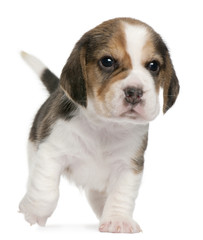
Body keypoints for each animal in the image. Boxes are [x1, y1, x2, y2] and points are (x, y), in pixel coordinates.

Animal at [19, 17, 179, 233]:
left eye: (153, 66)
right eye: (107, 62)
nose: (135, 92)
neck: (106, 126)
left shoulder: (129, 165)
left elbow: (121, 194)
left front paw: (118, 219)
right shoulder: (51, 152)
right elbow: (46, 190)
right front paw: (34, 212)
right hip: (33, 150)